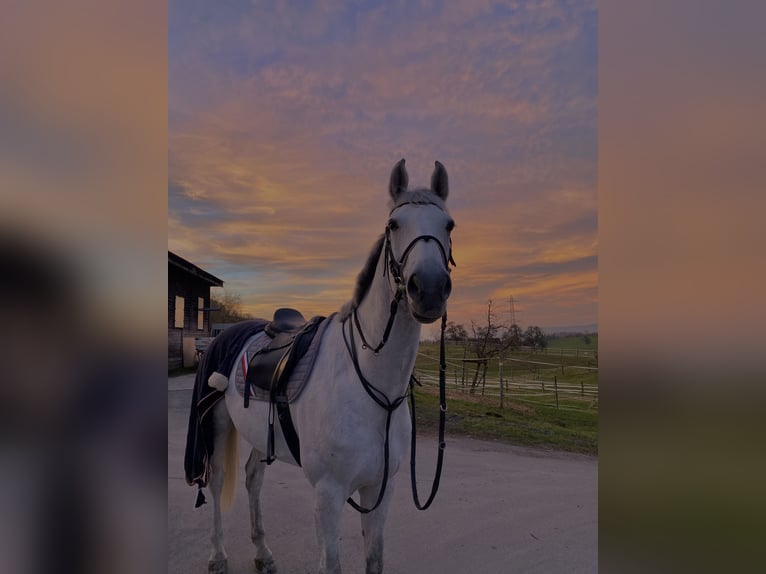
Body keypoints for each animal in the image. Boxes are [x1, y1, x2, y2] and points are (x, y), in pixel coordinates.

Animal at [202, 160, 456, 574]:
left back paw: (263, 554)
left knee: (253, 479)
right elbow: (331, 564)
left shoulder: (379, 490)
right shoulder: (328, 494)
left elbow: (374, 559)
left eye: (449, 225)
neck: (372, 387)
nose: (430, 289)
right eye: (393, 224)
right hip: (219, 425)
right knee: (218, 480)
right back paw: (218, 556)